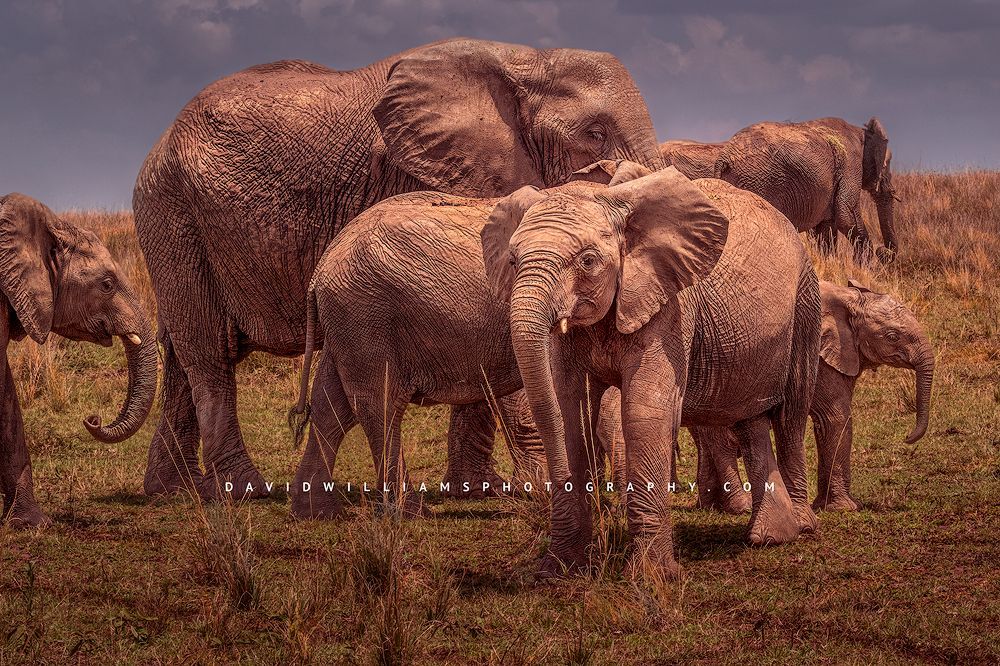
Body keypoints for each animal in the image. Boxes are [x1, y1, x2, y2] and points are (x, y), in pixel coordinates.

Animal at [133, 37, 665, 499]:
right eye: (594, 133)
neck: (529, 60)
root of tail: (157, 145)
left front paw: (478, 489)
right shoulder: (419, 171)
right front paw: (534, 488)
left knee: (183, 356)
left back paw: (173, 490)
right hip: (173, 215)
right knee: (209, 353)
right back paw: (245, 490)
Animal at [482, 163, 822, 579]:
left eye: (588, 261)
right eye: (513, 261)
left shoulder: (670, 304)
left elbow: (644, 412)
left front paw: (651, 577)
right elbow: (569, 410)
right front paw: (558, 571)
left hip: (806, 301)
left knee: (791, 415)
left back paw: (802, 527)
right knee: (749, 418)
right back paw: (771, 536)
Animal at [693, 279, 935, 514]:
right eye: (892, 337)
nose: (907, 437)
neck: (848, 298)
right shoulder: (819, 356)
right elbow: (836, 417)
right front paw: (844, 508)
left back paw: (710, 506)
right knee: (724, 440)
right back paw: (741, 507)